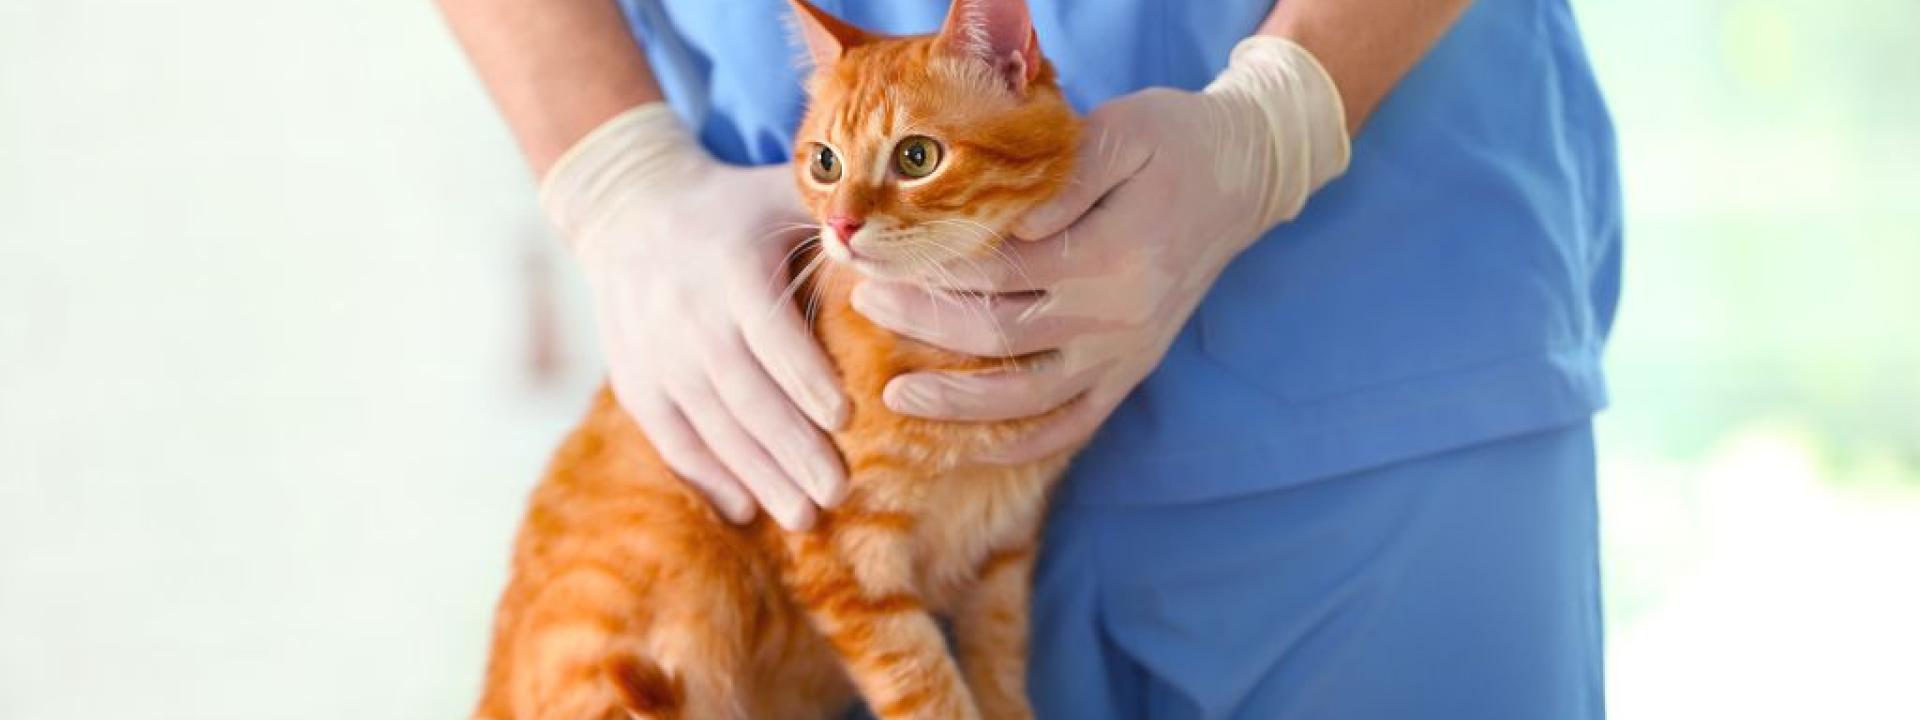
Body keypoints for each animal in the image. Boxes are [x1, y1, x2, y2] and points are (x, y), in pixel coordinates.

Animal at [474, 1, 1082, 720]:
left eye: (917, 157)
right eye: (825, 163)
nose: (842, 225)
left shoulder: (1004, 551)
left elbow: (998, 671)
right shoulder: (847, 555)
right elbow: (926, 687)